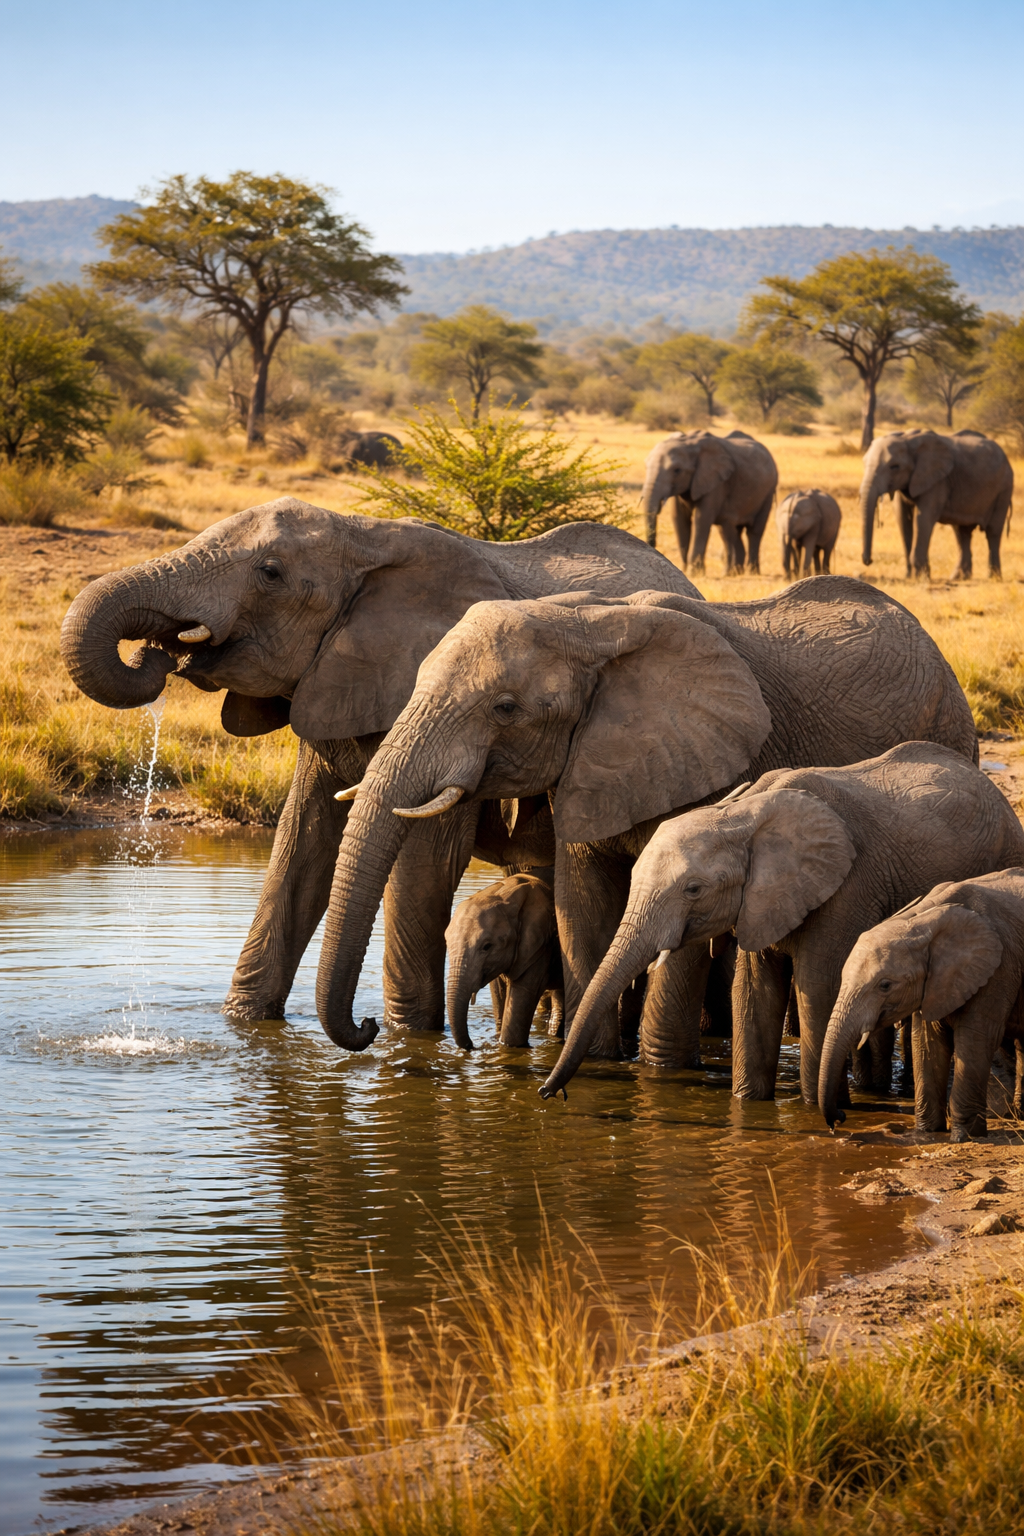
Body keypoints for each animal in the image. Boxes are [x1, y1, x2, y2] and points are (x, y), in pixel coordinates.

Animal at [445, 873, 563, 1048]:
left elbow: (522, 993)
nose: (472, 1045)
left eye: (487, 946)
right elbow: (498, 992)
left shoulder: (539, 946)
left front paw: (507, 1046)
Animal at [540, 743, 1024, 1105]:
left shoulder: (847, 887)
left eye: (693, 889)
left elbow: (817, 986)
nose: (548, 1094)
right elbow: (753, 992)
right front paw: (749, 1104)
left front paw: (819, 1111)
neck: (746, 813)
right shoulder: (761, 903)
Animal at [640, 430, 778, 574]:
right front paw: (684, 569)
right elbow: (679, 518)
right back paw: (734, 573)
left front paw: (694, 572)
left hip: (768, 491)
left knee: (754, 531)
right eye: (646, 466)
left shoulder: (716, 482)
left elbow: (701, 518)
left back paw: (752, 572)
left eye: (677, 470)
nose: (652, 545)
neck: (688, 443)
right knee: (731, 531)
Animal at [819, 870, 1024, 1141]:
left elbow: (976, 1039)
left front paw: (965, 1137)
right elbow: (926, 1042)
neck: (922, 919)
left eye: (885, 985)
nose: (839, 1119)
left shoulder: (998, 970)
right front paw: (926, 1133)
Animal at [860, 429, 1013, 580]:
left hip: (1004, 488)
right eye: (864, 462)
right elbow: (902, 518)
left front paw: (921, 577)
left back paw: (994, 577)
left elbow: (923, 519)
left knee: (993, 531)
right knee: (962, 532)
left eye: (894, 467)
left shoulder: (937, 481)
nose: (868, 561)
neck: (907, 438)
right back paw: (959, 578)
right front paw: (909, 576)